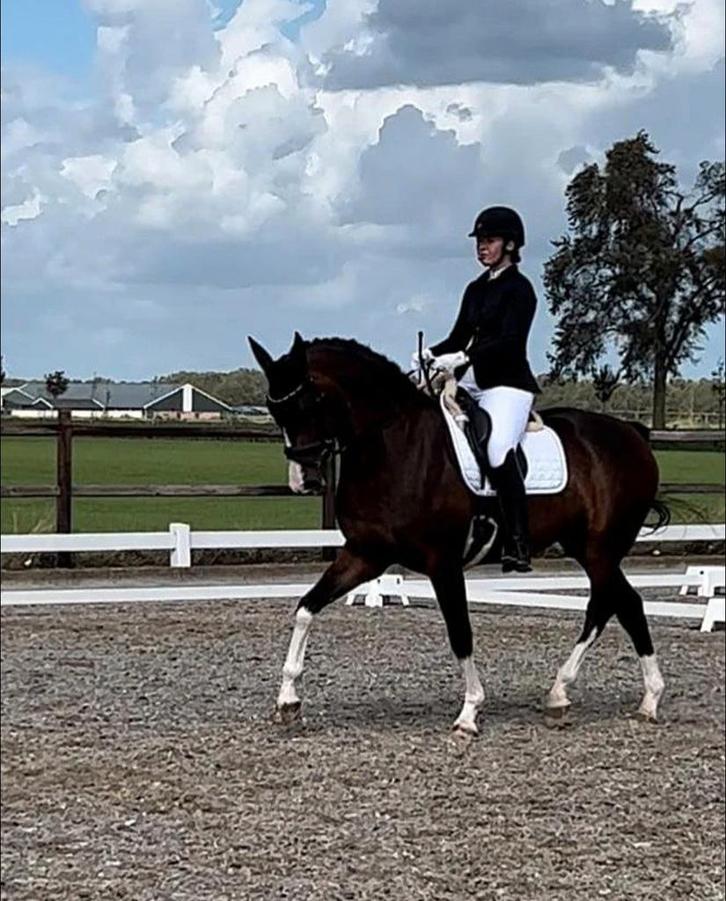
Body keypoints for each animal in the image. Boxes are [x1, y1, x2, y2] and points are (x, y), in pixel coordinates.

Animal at [248, 332, 669, 737]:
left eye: (310, 402)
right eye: (274, 410)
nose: (304, 481)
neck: (394, 446)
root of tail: (631, 432)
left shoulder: (443, 563)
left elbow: (460, 634)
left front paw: (469, 714)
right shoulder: (365, 553)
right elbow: (306, 607)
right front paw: (287, 701)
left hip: (601, 549)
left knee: (620, 604)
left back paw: (647, 699)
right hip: (584, 546)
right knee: (616, 604)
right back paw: (566, 694)